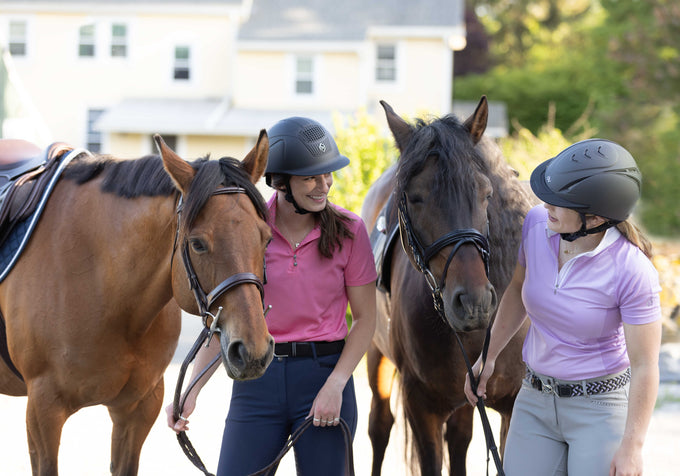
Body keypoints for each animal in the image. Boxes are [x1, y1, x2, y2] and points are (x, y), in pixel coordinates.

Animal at [364, 97, 532, 476]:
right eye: (414, 198)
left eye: (486, 194)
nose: (472, 303)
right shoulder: (422, 407)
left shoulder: (514, 405)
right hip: (375, 356)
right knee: (379, 427)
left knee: (458, 439)